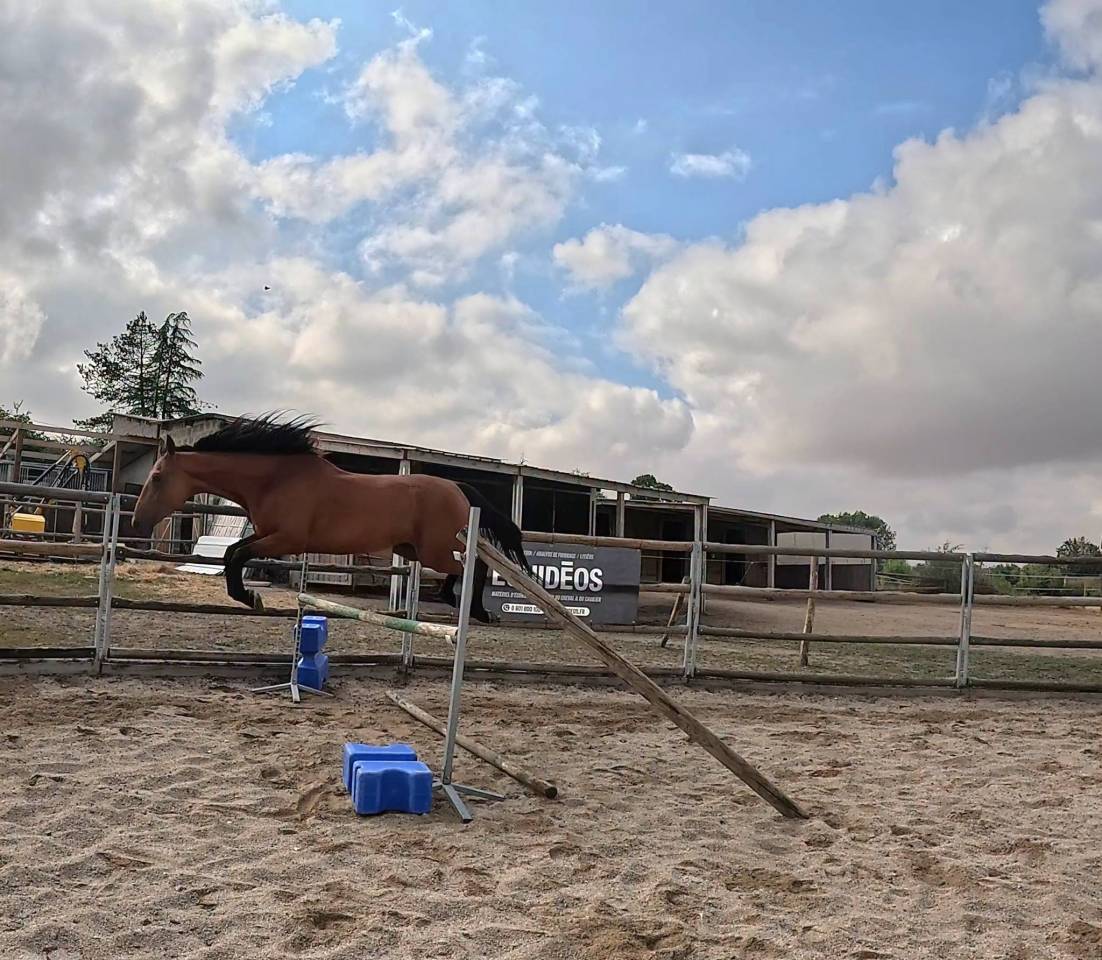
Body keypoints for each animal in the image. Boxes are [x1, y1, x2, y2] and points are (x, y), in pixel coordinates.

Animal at [129, 414, 532, 623]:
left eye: (158, 477)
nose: (137, 523)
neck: (275, 478)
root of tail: (458, 487)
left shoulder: (286, 539)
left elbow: (237, 556)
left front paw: (250, 598)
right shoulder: (269, 535)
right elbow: (232, 554)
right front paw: (248, 597)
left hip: (437, 547)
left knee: (473, 567)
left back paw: (475, 610)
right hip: (415, 549)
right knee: (470, 567)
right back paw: (460, 603)